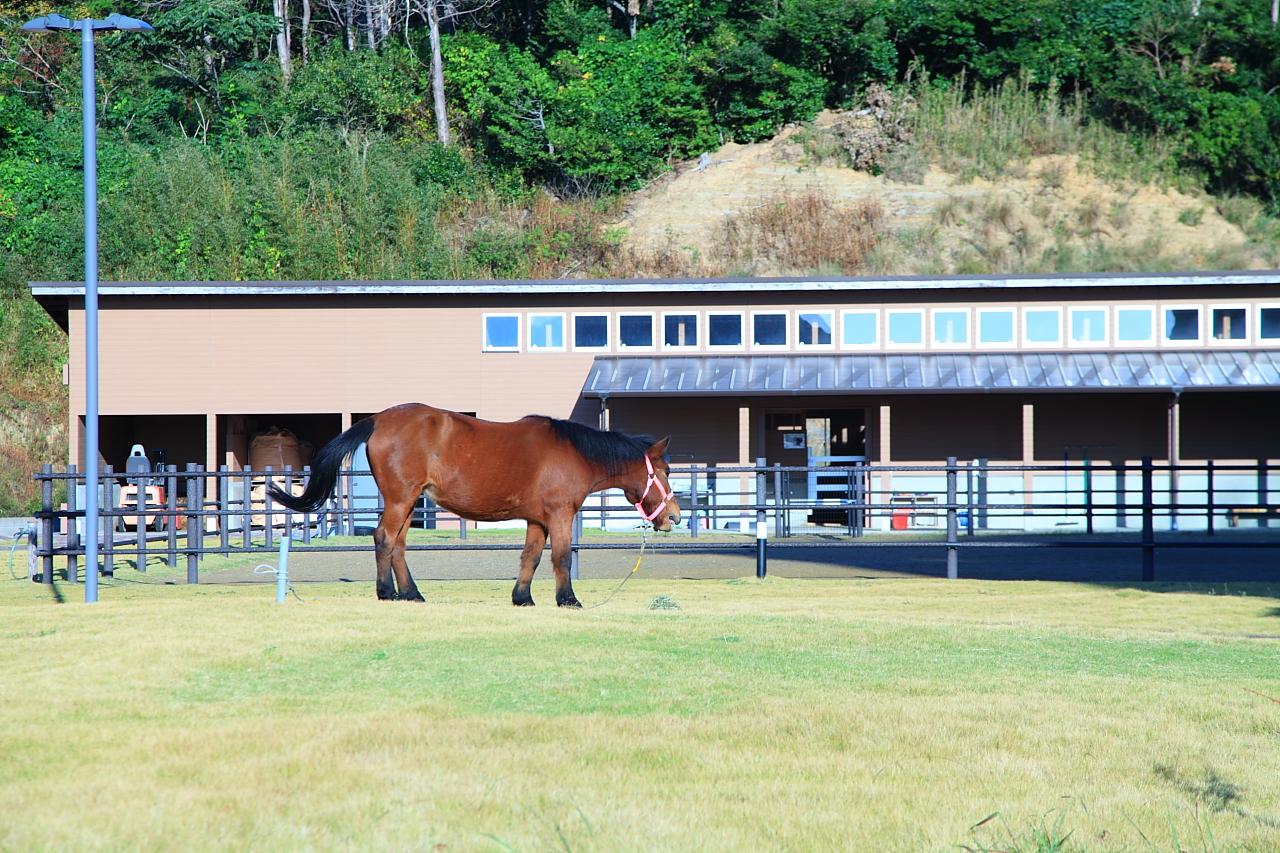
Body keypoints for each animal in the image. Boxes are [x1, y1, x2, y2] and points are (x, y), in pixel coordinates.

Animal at [262, 404, 680, 604]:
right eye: (664, 470)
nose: (674, 516)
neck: (572, 452)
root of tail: (379, 420)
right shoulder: (560, 515)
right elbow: (561, 558)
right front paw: (568, 600)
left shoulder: (537, 520)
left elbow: (530, 558)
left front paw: (522, 598)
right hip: (401, 499)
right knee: (383, 539)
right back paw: (387, 592)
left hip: (409, 503)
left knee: (398, 545)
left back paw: (411, 593)